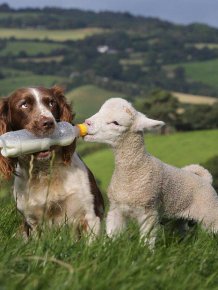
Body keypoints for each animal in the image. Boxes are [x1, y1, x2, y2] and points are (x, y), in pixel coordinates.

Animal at [0, 86, 104, 240]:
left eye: (51, 103)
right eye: (24, 104)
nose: (48, 123)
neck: (46, 171)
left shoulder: (90, 214)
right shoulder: (32, 222)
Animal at [84, 98, 217, 246]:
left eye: (116, 123)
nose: (87, 122)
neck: (133, 171)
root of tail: (205, 179)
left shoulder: (149, 211)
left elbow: (146, 241)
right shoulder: (116, 209)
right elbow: (112, 235)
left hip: (210, 213)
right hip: (179, 219)